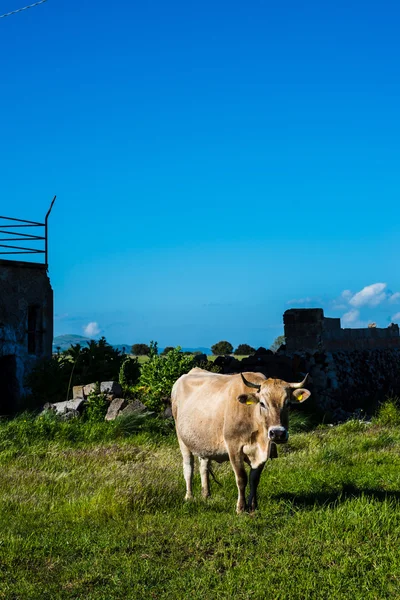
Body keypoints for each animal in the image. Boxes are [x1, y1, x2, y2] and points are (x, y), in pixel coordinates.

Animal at [170, 368, 310, 512]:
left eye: (288, 404)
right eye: (262, 403)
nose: (277, 433)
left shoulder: (263, 452)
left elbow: (254, 479)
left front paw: (253, 506)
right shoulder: (234, 447)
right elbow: (241, 478)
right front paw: (241, 508)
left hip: (204, 442)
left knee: (204, 467)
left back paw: (206, 495)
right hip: (182, 439)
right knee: (188, 467)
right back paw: (189, 497)